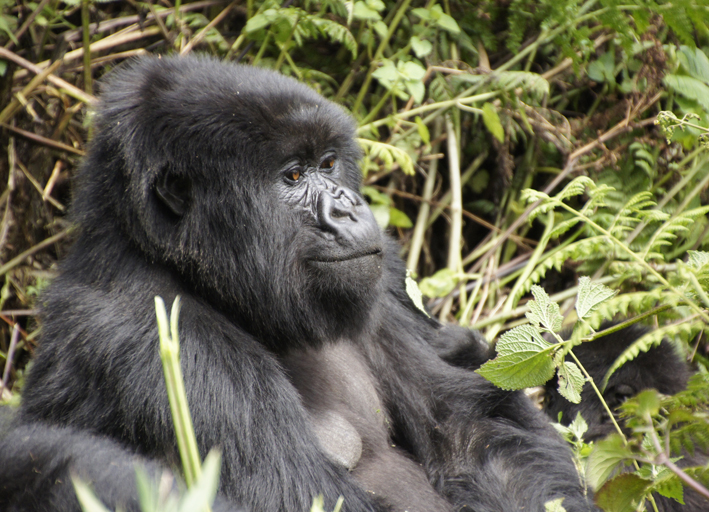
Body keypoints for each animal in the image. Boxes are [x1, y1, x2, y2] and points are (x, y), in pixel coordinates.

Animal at [0, 56, 596, 512]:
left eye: (328, 164)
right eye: (292, 175)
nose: (350, 208)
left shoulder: (383, 278)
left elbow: (474, 426)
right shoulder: (153, 338)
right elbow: (300, 491)